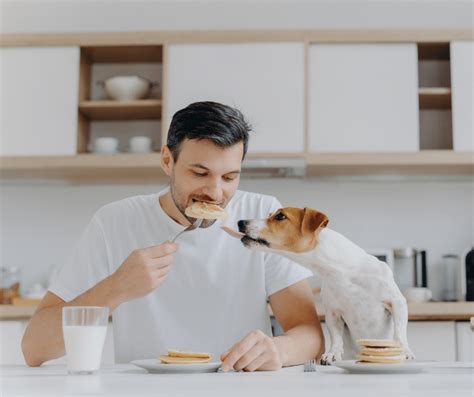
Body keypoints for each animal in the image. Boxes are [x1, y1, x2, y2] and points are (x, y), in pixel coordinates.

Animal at [237, 207, 414, 366]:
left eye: (280, 216)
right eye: (270, 214)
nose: (240, 222)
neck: (340, 271)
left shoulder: (397, 302)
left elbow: (400, 332)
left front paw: (405, 352)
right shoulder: (333, 313)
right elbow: (335, 337)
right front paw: (332, 353)